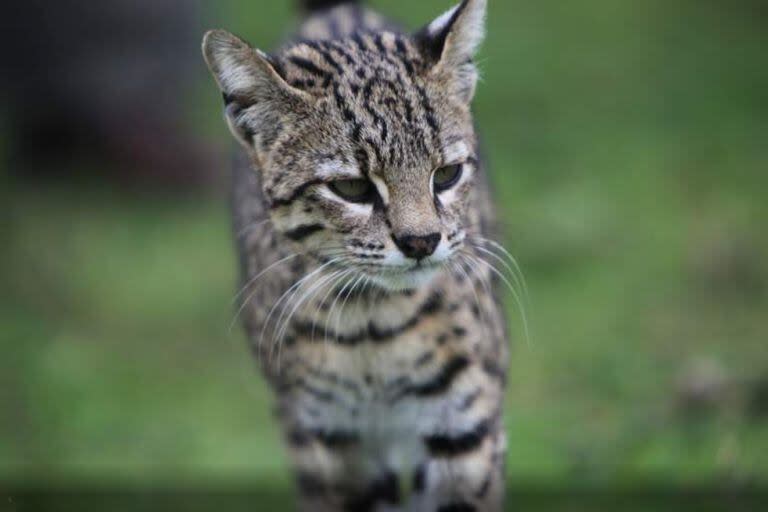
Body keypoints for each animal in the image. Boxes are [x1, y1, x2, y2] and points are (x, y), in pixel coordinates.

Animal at [202, 0, 520, 510]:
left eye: (446, 174)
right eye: (351, 188)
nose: (421, 242)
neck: (372, 321)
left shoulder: (465, 423)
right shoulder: (325, 441)